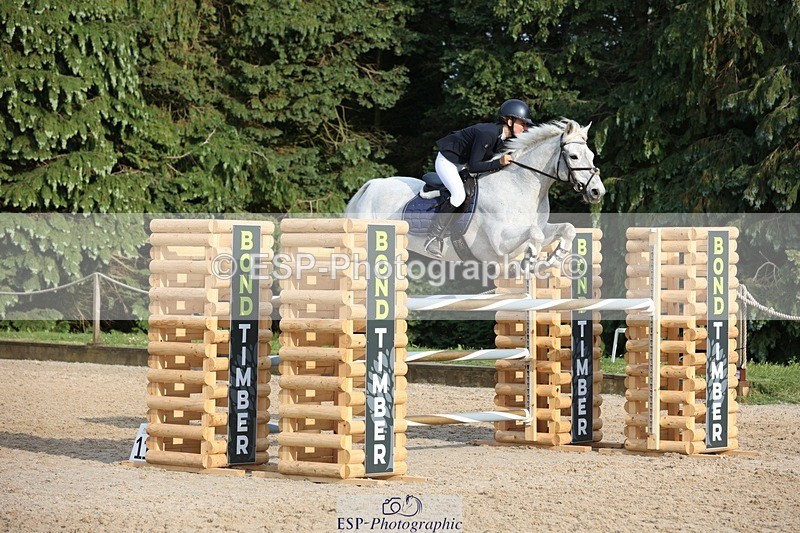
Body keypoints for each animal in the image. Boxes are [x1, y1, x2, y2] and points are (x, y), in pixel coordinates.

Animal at [344, 119, 604, 267]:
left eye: (592, 155)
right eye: (573, 156)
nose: (596, 192)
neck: (520, 184)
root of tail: (370, 186)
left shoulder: (538, 228)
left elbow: (566, 229)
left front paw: (556, 257)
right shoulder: (499, 243)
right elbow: (535, 235)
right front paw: (531, 258)